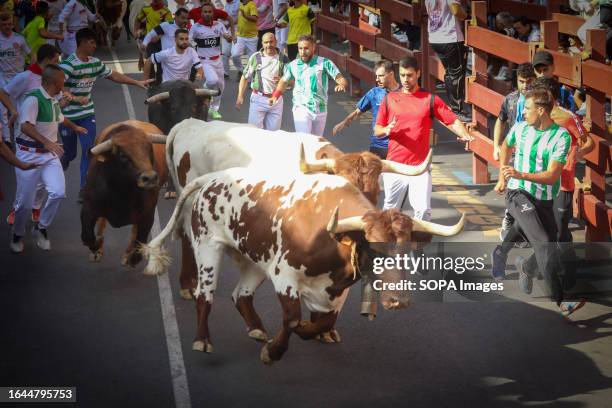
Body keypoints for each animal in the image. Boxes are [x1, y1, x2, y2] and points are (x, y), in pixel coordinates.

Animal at [81, 120, 169, 268]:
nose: (150, 178)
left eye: (149, 149)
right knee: (102, 221)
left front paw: (131, 258)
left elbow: (139, 241)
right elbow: (87, 237)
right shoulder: (88, 207)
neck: (121, 191)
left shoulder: (147, 214)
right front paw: (97, 246)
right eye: (123, 155)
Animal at [142, 167, 464, 364]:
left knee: (240, 294)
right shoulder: (285, 276)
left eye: (408, 248)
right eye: (374, 249)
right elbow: (293, 319)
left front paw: (310, 331)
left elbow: (323, 322)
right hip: (208, 247)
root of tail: (213, 177)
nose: (399, 300)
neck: (330, 236)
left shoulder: (337, 290)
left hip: (256, 259)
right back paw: (202, 340)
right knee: (204, 297)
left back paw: (256, 329)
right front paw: (273, 352)